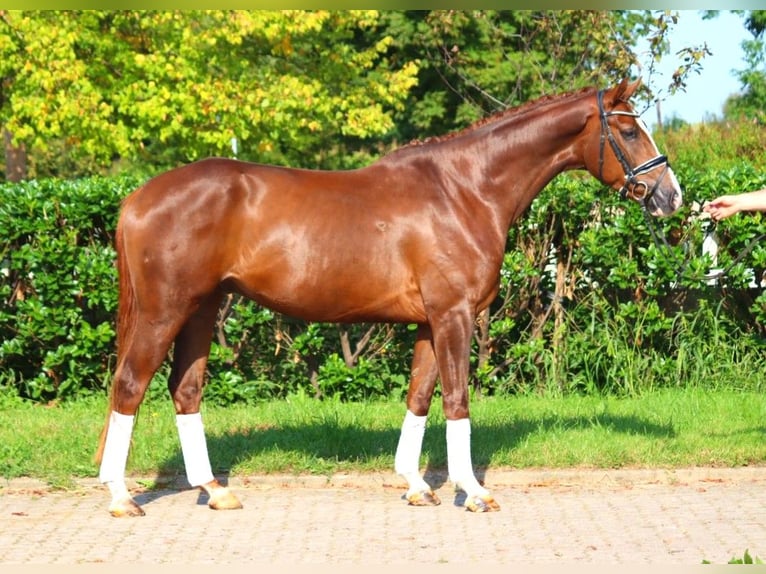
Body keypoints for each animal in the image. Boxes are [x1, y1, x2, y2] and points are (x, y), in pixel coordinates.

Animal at [94, 77, 684, 516]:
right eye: (628, 129)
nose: (670, 196)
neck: (465, 189)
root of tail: (136, 198)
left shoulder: (429, 321)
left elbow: (419, 396)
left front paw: (417, 486)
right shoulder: (454, 316)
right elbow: (457, 399)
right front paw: (474, 492)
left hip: (202, 309)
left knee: (184, 389)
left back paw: (215, 491)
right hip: (165, 311)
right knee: (130, 385)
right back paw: (122, 497)